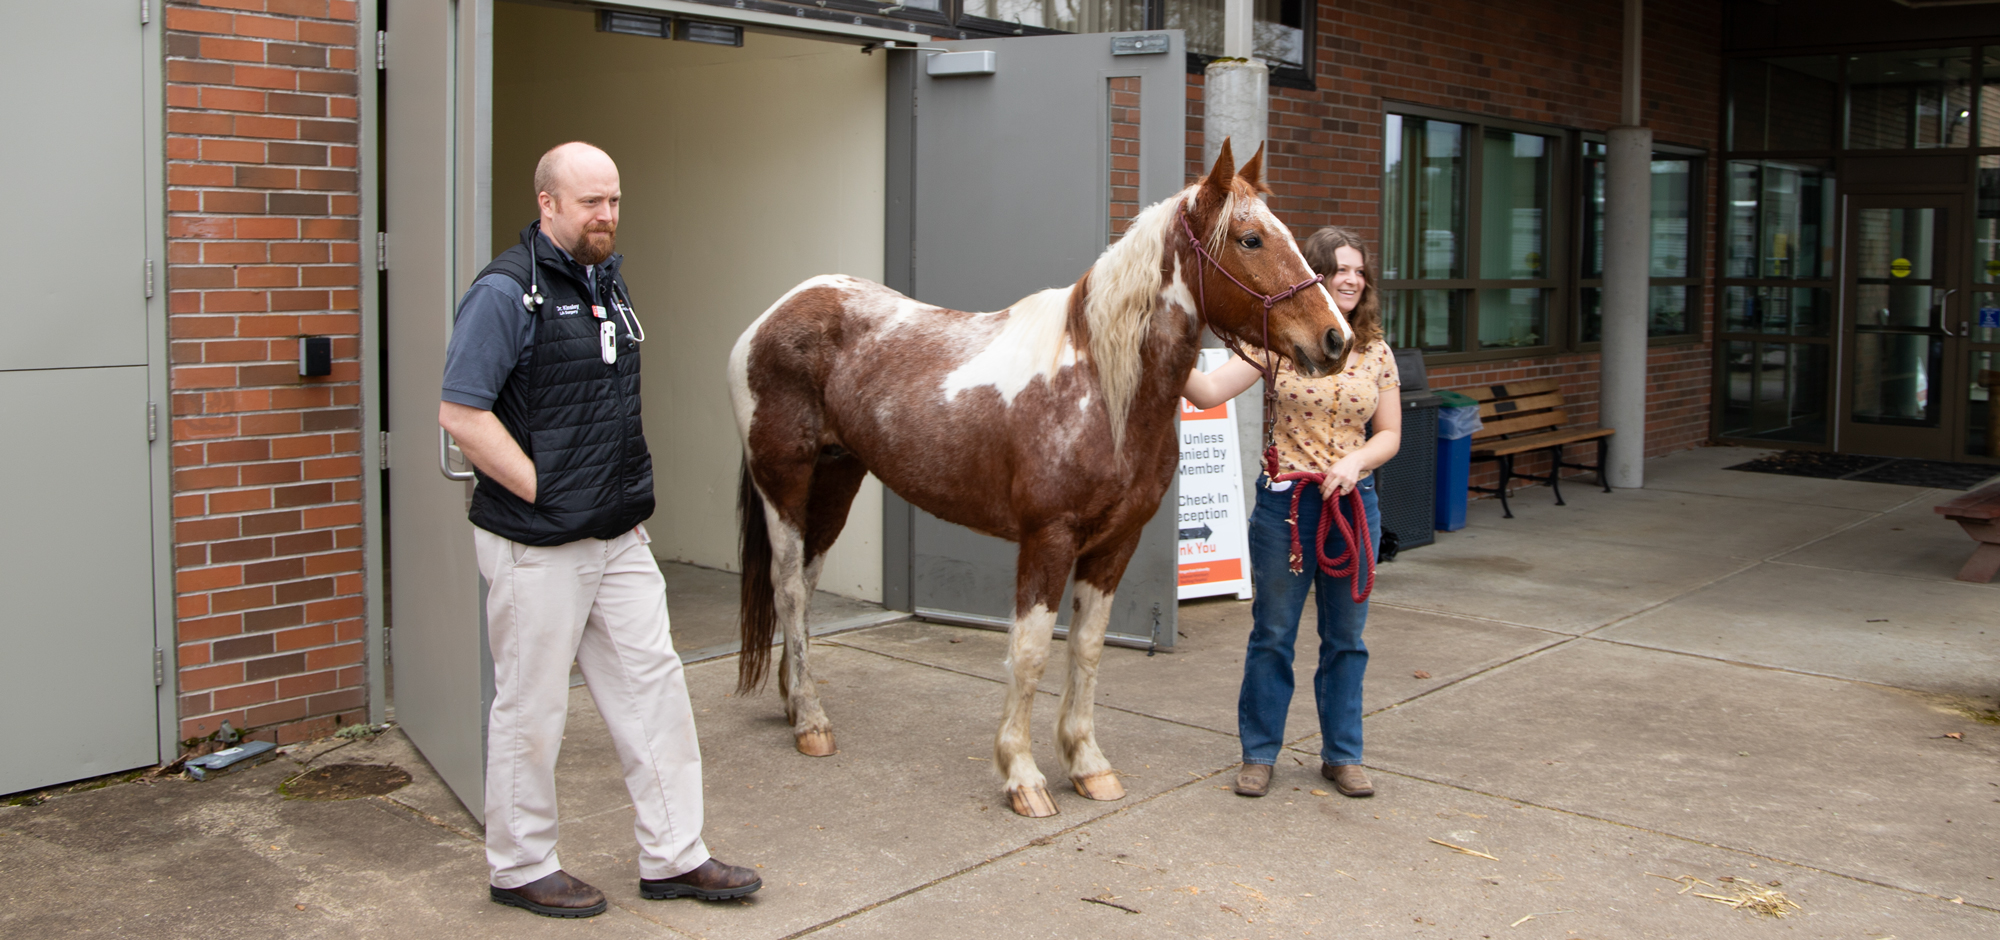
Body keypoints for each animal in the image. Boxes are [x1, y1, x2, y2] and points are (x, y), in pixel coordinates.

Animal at [728, 140, 1352, 816]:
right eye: (1249, 239)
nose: (1336, 338)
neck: (1099, 384)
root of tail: (774, 314)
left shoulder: (1115, 543)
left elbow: (1086, 648)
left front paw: (1088, 765)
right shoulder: (1047, 538)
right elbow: (1029, 653)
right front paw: (1022, 776)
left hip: (837, 479)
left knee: (807, 584)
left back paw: (796, 701)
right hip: (783, 483)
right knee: (788, 588)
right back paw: (812, 722)